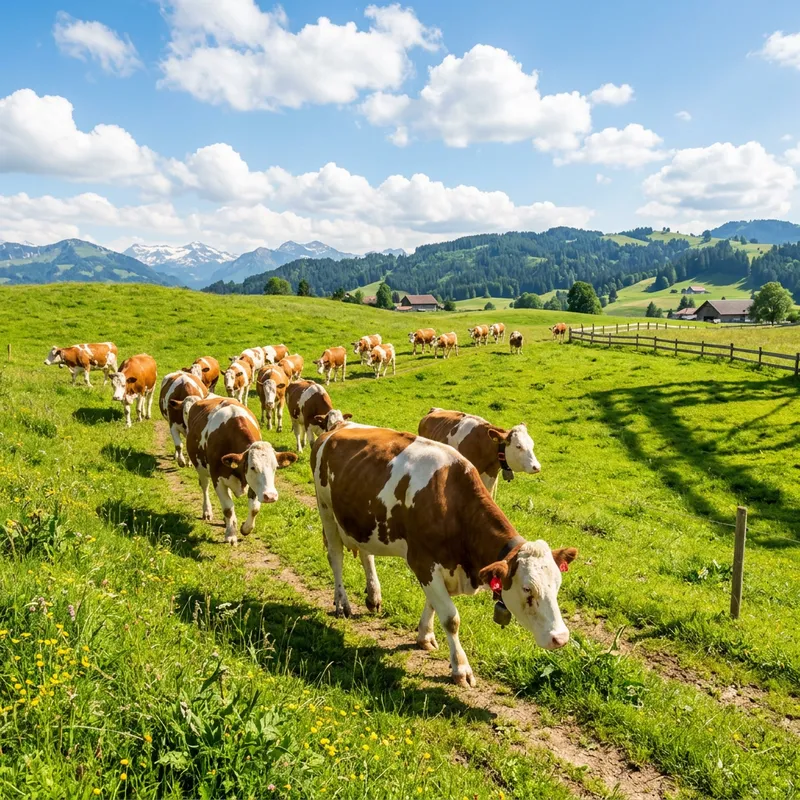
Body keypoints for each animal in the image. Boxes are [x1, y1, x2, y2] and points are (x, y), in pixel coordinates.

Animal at [178, 395, 297, 545]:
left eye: (275, 467)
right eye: (253, 467)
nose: (270, 496)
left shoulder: (253, 484)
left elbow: (254, 508)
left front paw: (245, 528)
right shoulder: (218, 479)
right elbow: (228, 508)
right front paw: (230, 535)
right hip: (200, 468)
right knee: (205, 487)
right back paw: (207, 511)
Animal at [311, 424, 576, 687]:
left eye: (558, 586)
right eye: (527, 589)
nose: (561, 638)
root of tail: (338, 426)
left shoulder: (443, 567)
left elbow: (433, 604)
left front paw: (424, 635)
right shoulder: (423, 562)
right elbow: (451, 618)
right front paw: (461, 668)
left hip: (363, 522)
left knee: (367, 556)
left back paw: (373, 597)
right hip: (325, 509)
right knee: (336, 557)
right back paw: (342, 604)